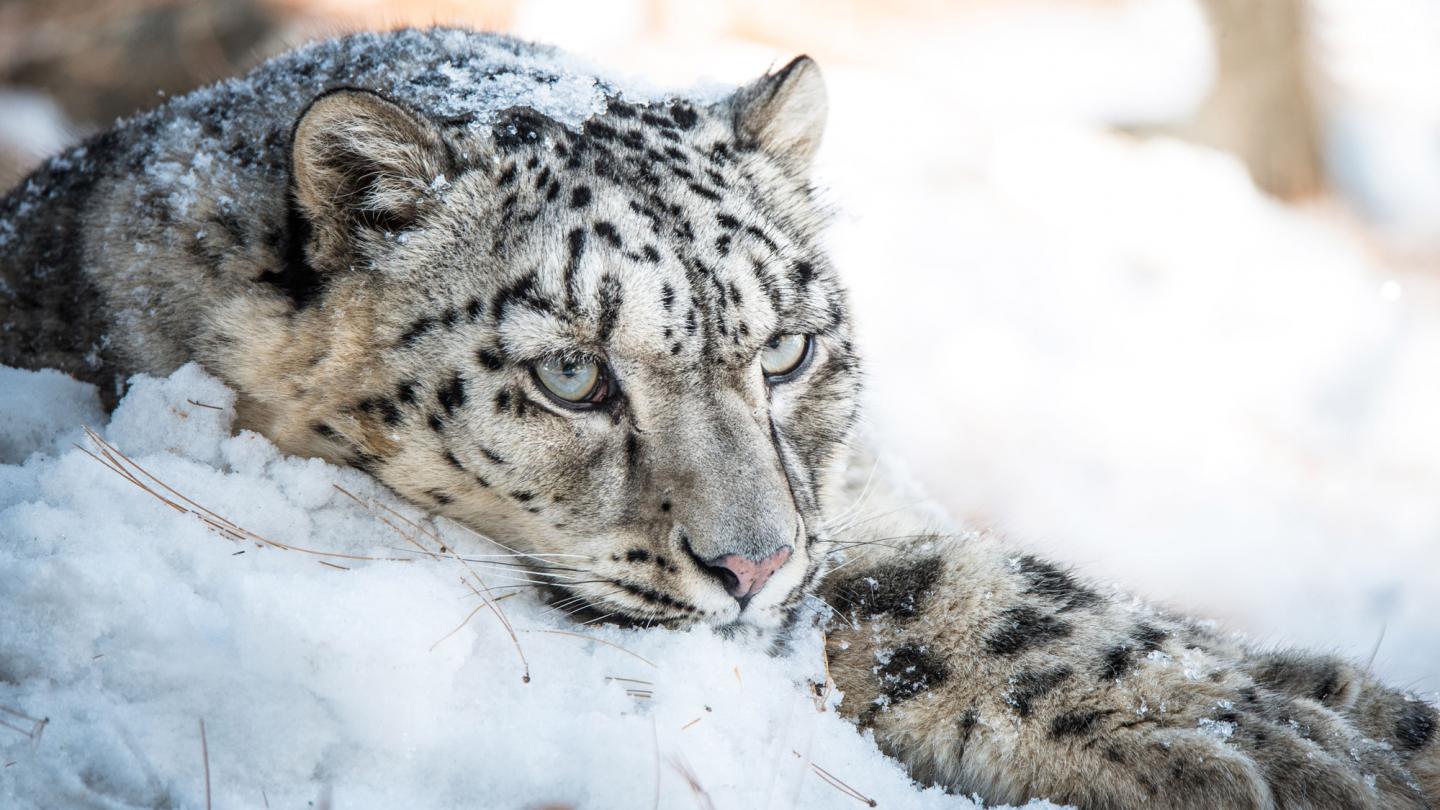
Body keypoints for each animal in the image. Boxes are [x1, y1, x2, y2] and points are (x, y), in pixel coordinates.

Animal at [1, 27, 1434, 808]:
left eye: (787, 349)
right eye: (572, 373)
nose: (755, 563)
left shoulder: (856, 504)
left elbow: (1030, 591)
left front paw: (1348, 722)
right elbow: (969, 613)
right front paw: (1272, 744)